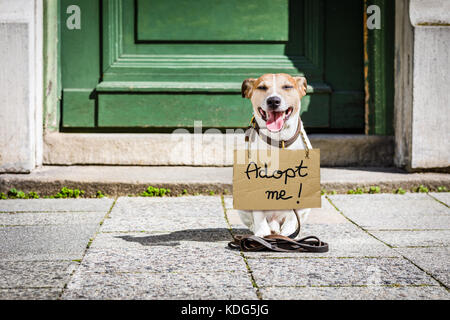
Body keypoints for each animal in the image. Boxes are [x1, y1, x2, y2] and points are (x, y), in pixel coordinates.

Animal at [237, 72, 312, 238]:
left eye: (287, 86)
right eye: (262, 87)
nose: (273, 100)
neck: (279, 141)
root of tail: (275, 219)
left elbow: (293, 215)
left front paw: (289, 231)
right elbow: (258, 213)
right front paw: (262, 233)